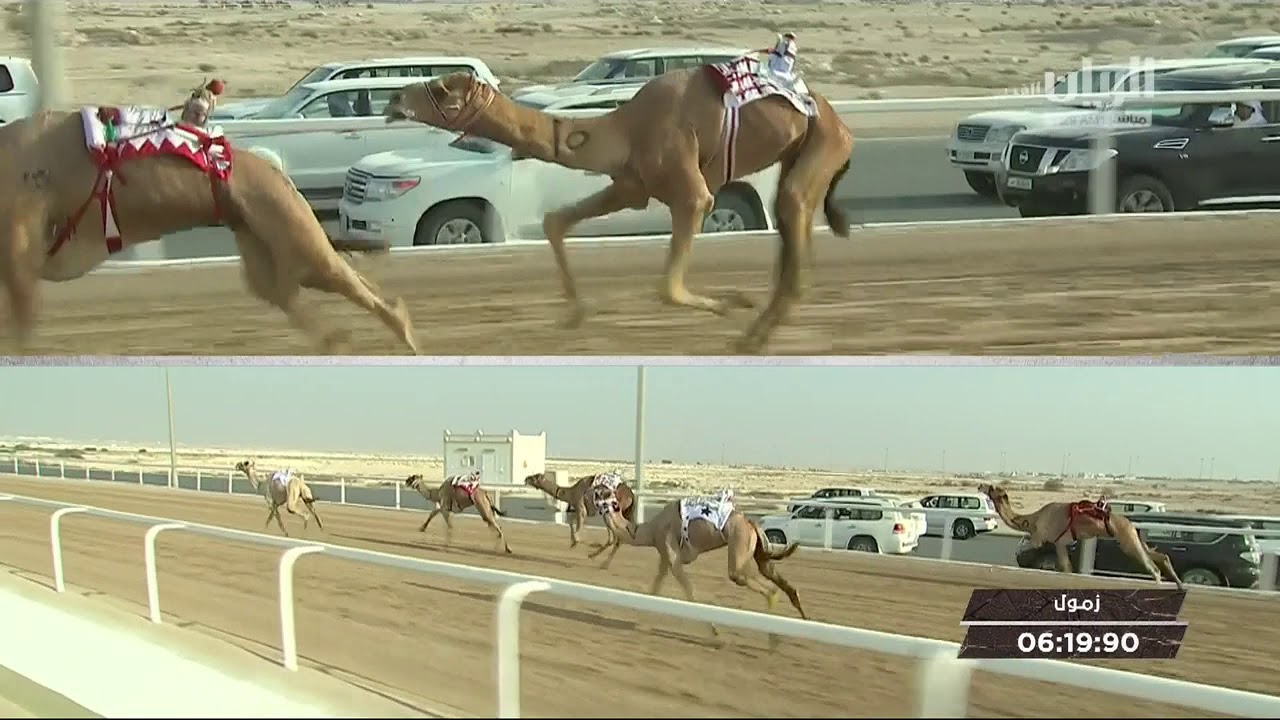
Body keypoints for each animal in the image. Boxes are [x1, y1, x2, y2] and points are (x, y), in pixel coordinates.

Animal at [0, 78, 419, 355]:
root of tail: (279, 177)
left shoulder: (21, 248)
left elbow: (21, 332)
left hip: (294, 234)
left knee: (345, 282)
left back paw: (405, 336)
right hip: (263, 243)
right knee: (296, 294)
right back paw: (341, 341)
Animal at [383, 35, 855, 354]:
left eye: (442, 90)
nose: (393, 99)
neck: (623, 128)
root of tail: (839, 120)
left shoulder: (691, 195)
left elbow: (668, 286)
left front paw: (730, 303)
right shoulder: (631, 187)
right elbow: (555, 221)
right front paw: (575, 313)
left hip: (822, 146)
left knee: (792, 225)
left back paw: (749, 340)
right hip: (799, 153)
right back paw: (755, 333)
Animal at [589, 486, 807, 640]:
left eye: (601, 492)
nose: (590, 492)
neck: (650, 530)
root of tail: (751, 523)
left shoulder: (672, 555)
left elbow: (689, 593)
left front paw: (715, 630)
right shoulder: (664, 558)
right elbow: (654, 589)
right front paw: (639, 622)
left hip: (740, 541)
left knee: (746, 578)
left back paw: (774, 625)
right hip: (756, 549)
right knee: (777, 578)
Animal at [978, 483, 1182, 589]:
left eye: (992, 487)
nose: (980, 485)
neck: (1033, 519)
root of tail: (1130, 524)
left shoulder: (1051, 541)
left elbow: (1064, 568)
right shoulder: (1060, 543)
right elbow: (1066, 568)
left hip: (1127, 540)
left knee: (1153, 569)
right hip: (1132, 539)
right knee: (1160, 556)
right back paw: (1179, 585)